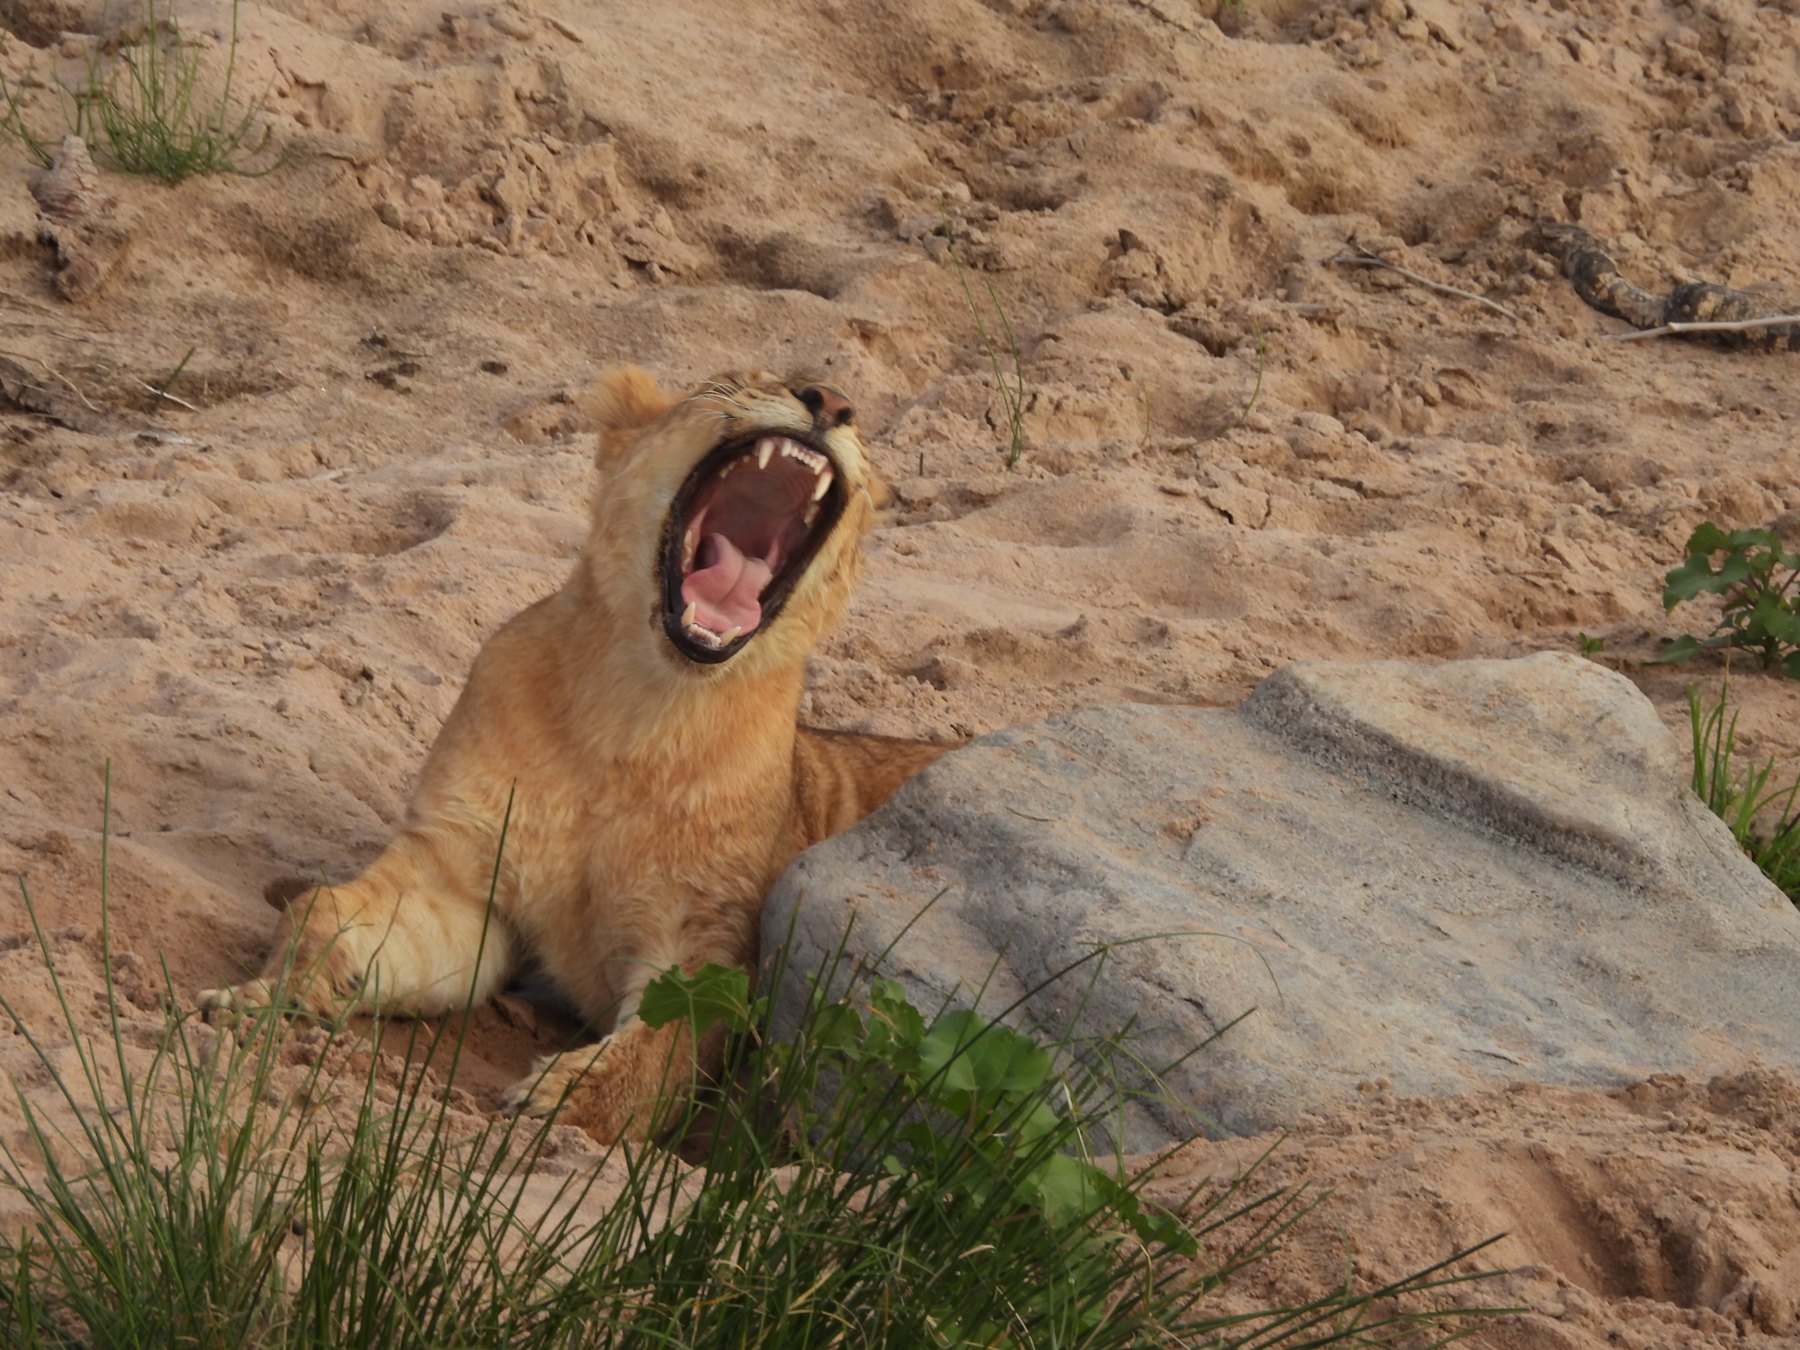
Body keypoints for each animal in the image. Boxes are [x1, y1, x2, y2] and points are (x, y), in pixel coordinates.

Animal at [200, 368, 948, 1142]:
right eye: (732, 382)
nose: (830, 400)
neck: (637, 715)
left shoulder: (711, 936)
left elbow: (660, 1046)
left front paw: (553, 1102)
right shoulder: (461, 879)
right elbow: (322, 909)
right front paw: (271, 992)